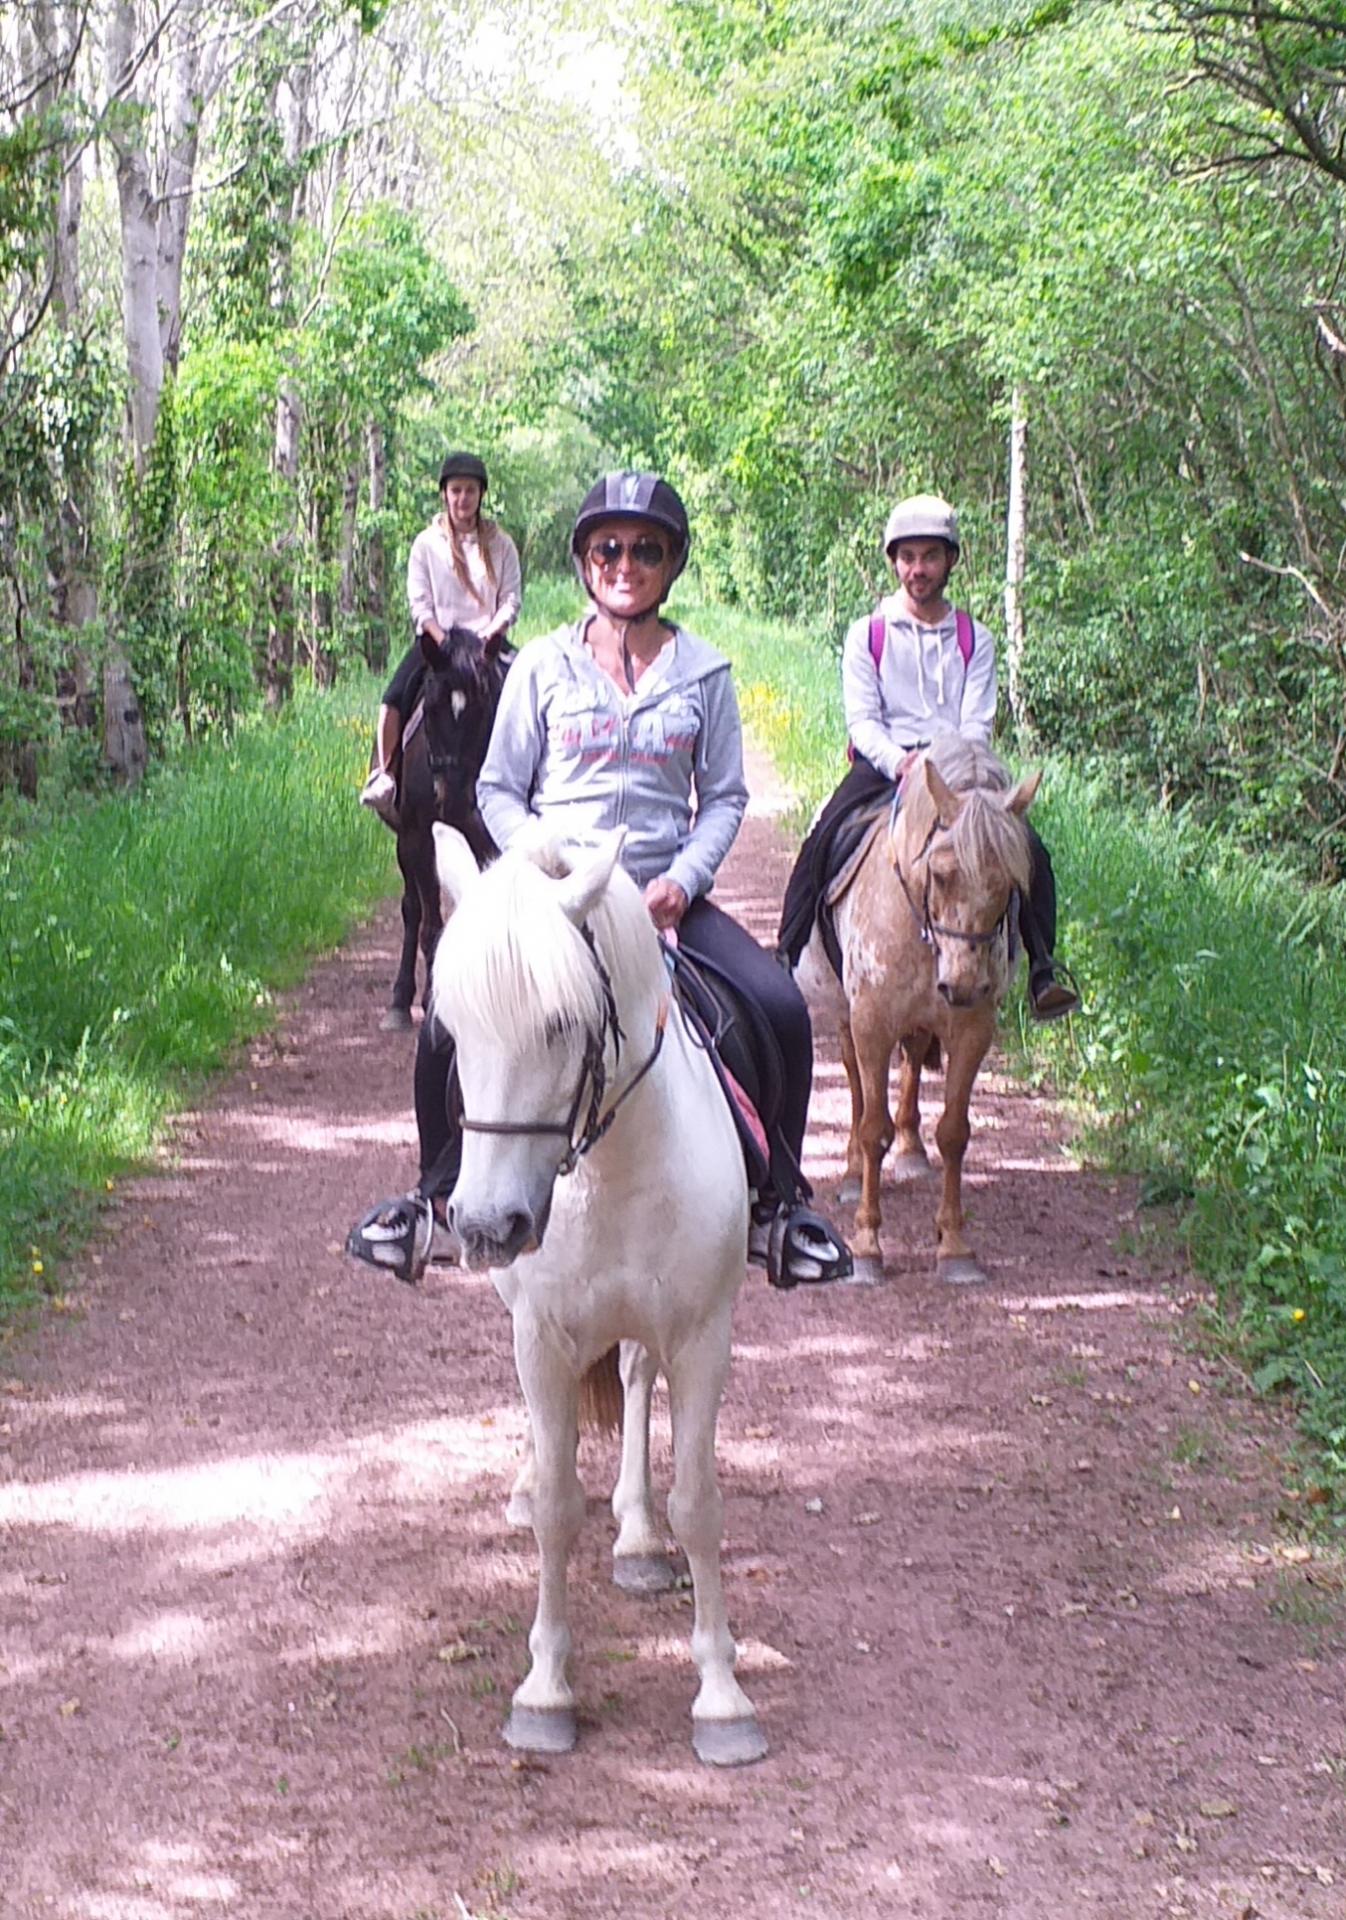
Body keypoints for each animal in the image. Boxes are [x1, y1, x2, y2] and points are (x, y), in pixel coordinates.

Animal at [380, 622, 510, 1029]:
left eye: (483, 708)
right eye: (431, 707)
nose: (451, 797)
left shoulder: (489, 841)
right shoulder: (418, 837)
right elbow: (430, 925)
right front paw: (429, 1003)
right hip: (405, 844)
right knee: (412, 910)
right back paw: (399, 1001)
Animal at [430, 825, 768, 1766]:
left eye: (560, 1023)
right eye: (452, 1029)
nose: (487, 1224)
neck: (606, 1169)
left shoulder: (702, 1337)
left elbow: (699, 1505)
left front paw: (721, 1697)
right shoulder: (541, 1338)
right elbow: (555, 1508)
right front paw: (545, 1691)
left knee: (634, 1381)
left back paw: (639, 1536)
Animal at [798, 733, 1036, 1290]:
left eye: (1011, 883)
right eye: (942, 873)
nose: (965, 983)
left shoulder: (972, 1029)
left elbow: (954, 1133)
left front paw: (955, 1248)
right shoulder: (870, 1022)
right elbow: (871, 1128)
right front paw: (867, 1245)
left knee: (911, 1064)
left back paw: (911, 1152)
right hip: (846, 1014)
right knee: (857, 1085)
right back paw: (849, 1173)